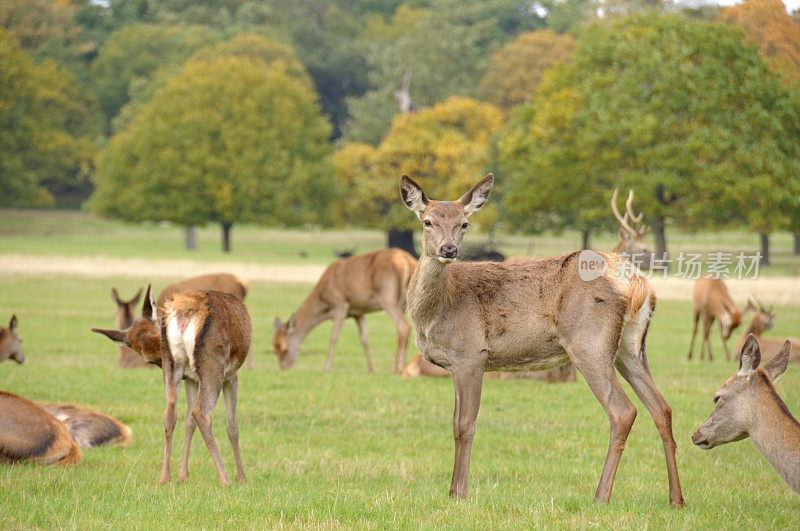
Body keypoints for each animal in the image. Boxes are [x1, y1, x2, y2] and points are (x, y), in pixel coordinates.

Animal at [92, 286, 252, 486]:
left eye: (151, 359)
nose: (238, 479)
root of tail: (184, 311)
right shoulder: (231, 376)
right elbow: (232, 427)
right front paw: (242, 478)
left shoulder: (191, 379)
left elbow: (188, 422)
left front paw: (183, 475)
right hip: (213, 365)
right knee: (202, 412)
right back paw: (225, 478)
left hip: (173, 366)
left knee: (170, 413)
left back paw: (165, 477)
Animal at [272, 248, 416, 374]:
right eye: (274, 349)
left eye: (284, 349)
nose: (283, 368)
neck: (323, 299)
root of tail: (408, 262)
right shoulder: (359, 312)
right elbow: (364, 339)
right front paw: (372, 369)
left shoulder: (341, 305)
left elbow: (333, 336)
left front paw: (326, 367)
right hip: (403, 302)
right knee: (399, 331)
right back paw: (394, 368)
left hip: (387, 296)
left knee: (404, 327)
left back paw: (400, 369)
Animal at [398, 175, 680, 508]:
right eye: (427, 221)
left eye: (464, 223)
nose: (449, 249)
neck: (438, 311)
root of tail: (638, 283)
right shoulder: (456, 363)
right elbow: (455, 422)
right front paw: (454, 490)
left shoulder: (470, 353)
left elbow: (464, 425)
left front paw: (458, 493)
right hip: (631, 348)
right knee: (662, 408)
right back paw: (676, 498)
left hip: (589, 342)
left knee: (623, 411)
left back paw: (600, 496)